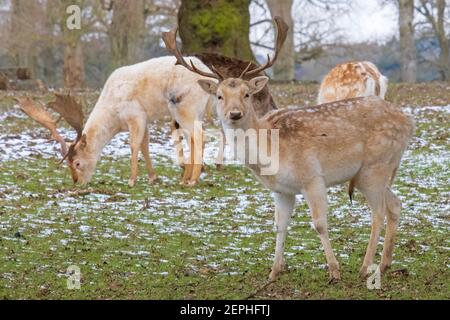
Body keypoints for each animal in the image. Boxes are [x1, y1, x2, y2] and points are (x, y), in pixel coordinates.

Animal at [165, 18, 414, 282]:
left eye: (247, 93)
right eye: (219, 96)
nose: (235, 113)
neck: (270, 152)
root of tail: (409, 122)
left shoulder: (312, 177)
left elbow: (319, 223)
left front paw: (334, 270)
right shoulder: (282, 190)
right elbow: (280, 225)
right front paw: (274, 272)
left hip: (374, 167)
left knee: (378, 212)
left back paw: (365, 267)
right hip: (378, 171)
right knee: (395, 205)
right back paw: (384, 265)